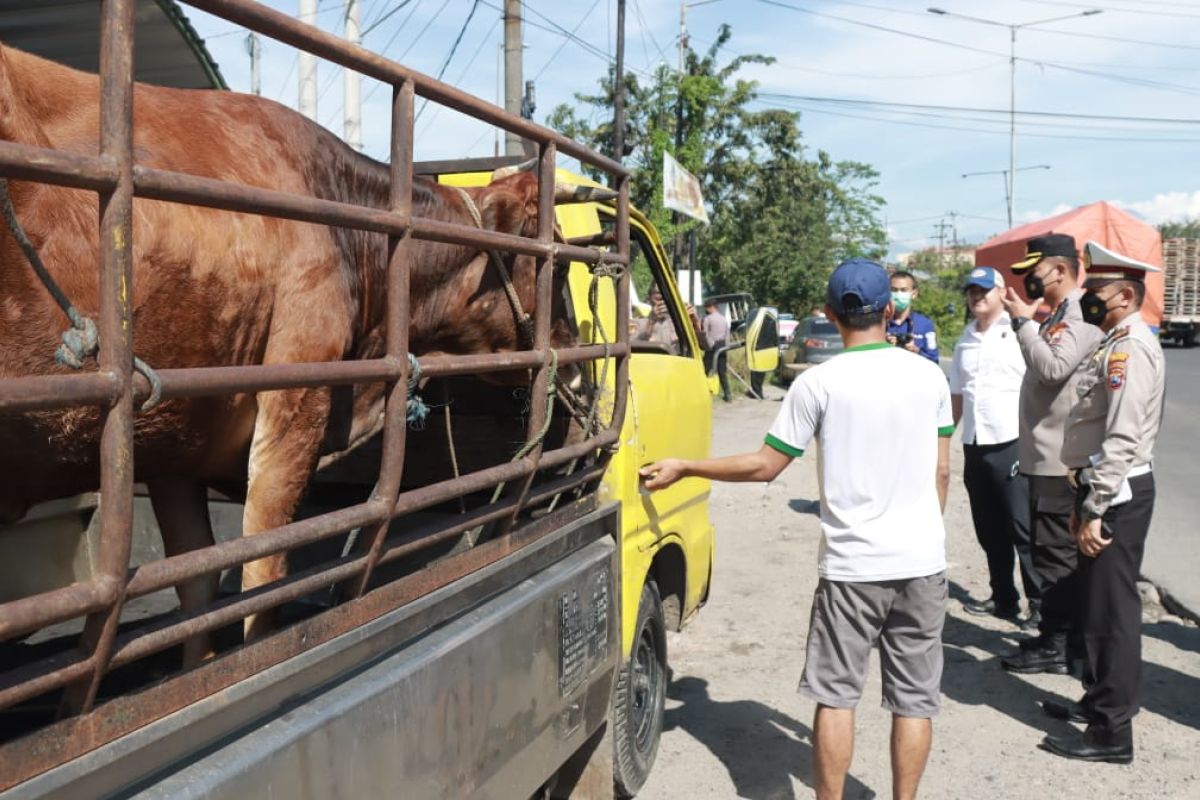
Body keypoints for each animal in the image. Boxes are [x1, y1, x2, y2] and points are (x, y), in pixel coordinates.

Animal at [0, 43, 578, 652]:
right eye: (560, 265)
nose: (578, 357)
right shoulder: (298, 391)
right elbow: (263, 571)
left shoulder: (175, 438)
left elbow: (196, 585)